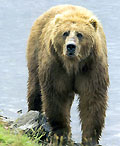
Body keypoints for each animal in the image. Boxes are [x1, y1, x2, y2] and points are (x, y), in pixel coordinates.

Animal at [26, 4, 109, 146]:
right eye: (65, 33)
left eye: (80, 34)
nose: (71, 46)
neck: (73, 65)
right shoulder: (56, 67)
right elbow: (57, 96)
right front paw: (60, 135)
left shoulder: (92, 68)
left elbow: (92, 100)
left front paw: (90, 138)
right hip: (36, 50)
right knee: (35, 87)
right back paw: (33, 111)